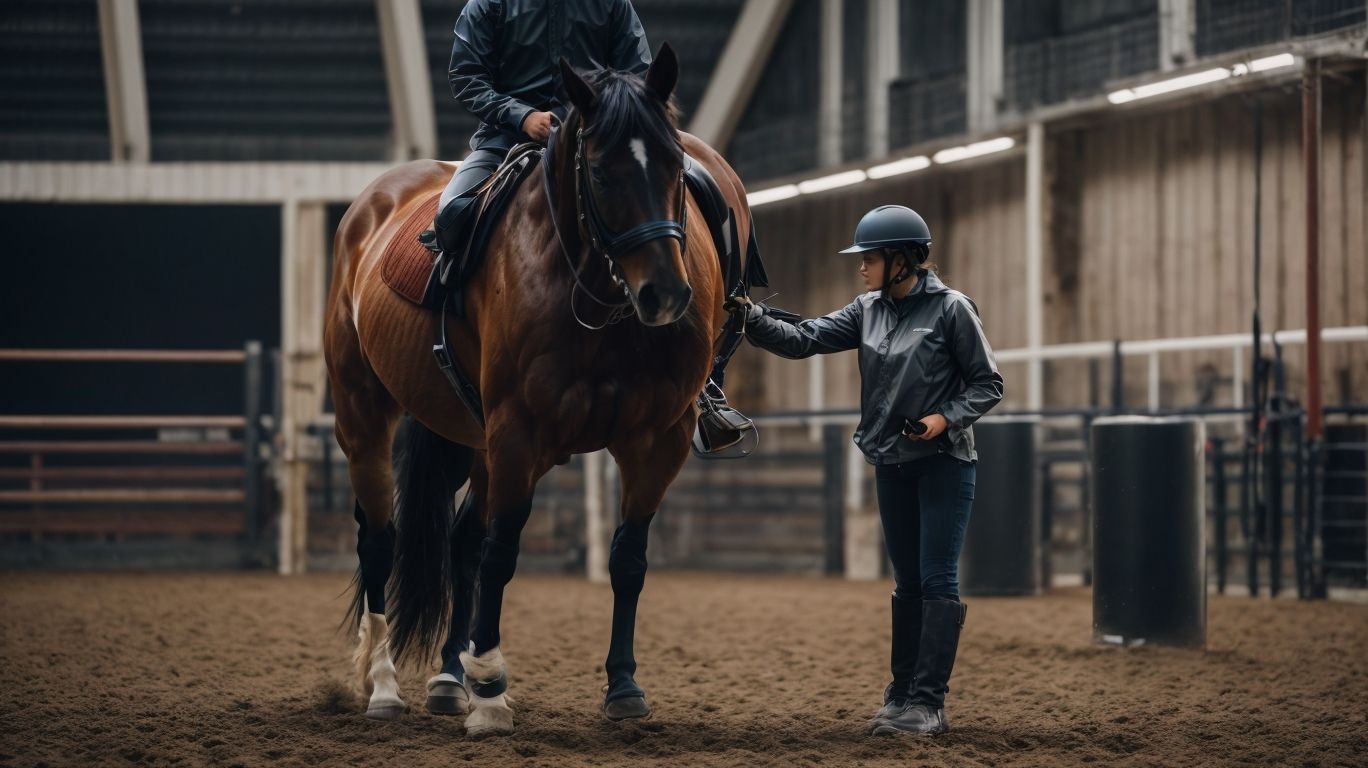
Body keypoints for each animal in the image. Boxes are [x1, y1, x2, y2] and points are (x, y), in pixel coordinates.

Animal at [323, 44, 755, 737]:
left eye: (673, 167)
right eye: (599, 172)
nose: (665, 294)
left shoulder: (657, 441)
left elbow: (627, 561)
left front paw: (623, 688)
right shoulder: (517, 433)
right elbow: (502, 554)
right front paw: (491, 692)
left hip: (470, 439)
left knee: (459, 542)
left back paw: (449, 681)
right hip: (366, 418)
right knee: (381, 541)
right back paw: (387, 686)